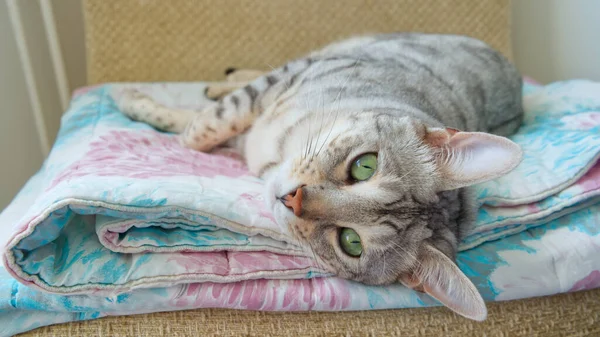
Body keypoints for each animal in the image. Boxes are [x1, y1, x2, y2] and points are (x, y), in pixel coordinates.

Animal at [115, 32, 524, 318]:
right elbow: (206, 127)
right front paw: (142, 105)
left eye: (351, 242)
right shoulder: (287, 79)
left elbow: (203, 128)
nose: (292, 197)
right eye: (364, 165)